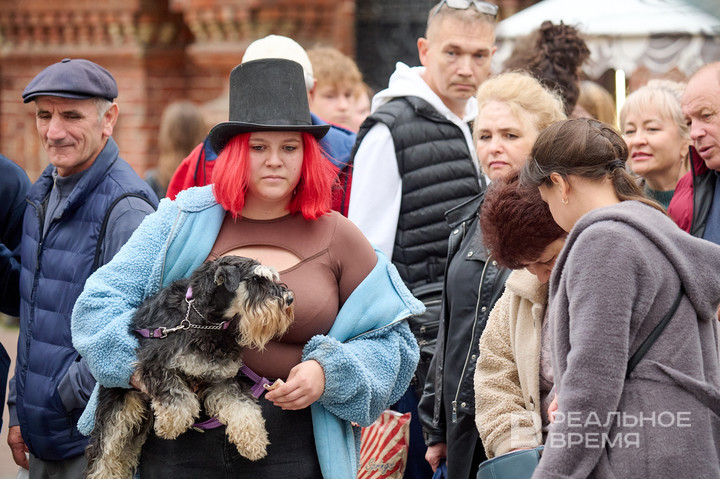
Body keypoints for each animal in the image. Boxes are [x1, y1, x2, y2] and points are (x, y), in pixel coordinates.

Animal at [85, 255, 295, 479]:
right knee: (104, 457)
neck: (204, 321)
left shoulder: (222, 378)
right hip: (117, 415)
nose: (289, 299)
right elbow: (177, 395)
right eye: (256, 280)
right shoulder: (153, 364)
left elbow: (243, 406)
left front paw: (254, 441)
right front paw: (171, 424)